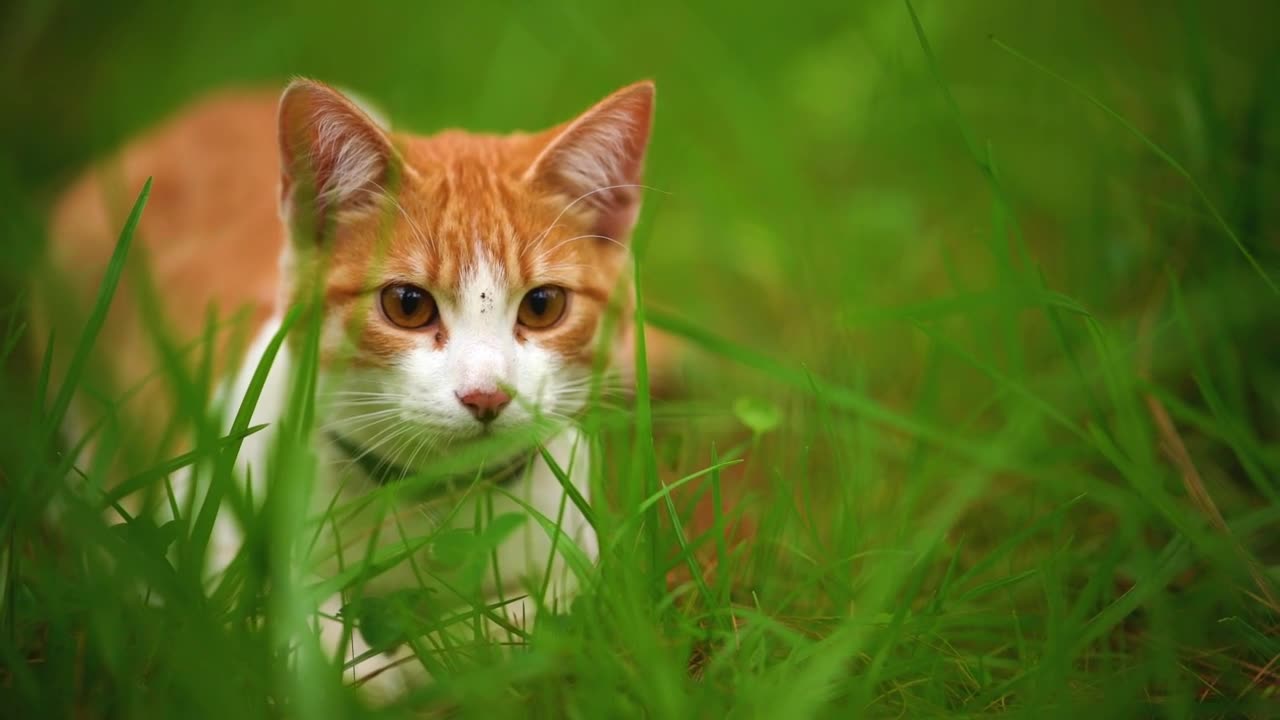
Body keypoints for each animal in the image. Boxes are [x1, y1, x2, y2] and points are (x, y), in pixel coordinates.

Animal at [40, 78, 660, 696]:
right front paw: (366, 666)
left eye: (542, 305)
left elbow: (534, 618)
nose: (486, 395)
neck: (430, 503)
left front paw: (448, 648)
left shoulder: (580, 554)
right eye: (407, 305)